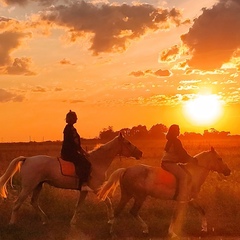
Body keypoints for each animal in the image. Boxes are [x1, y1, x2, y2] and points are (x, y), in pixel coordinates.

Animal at [0, 133, 142, 225]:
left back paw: (45, 220)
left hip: (38, 185)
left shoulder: (85, 190)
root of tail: (27, 159)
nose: (140, 153)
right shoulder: (96, 188)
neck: (97, 162)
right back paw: (12, 224)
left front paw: (73, 222)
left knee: (34, 202)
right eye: (128, 143)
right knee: (17, 203)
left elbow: (78, 206)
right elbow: (108, 202)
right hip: (28, 187)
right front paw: (111, 220)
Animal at [97, 146, 231, 238]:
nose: (228, 171)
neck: (193, 173)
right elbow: (175, 215)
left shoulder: (189, 200)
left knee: (118, 211)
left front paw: (204, 229)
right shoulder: (182, 200)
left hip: (127, 195)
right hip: (139, 197)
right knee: (132, 211)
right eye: (219, 158)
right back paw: (144, 229)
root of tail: (126, 170)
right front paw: (172, 233)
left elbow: (202, 210)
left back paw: (112, 231)